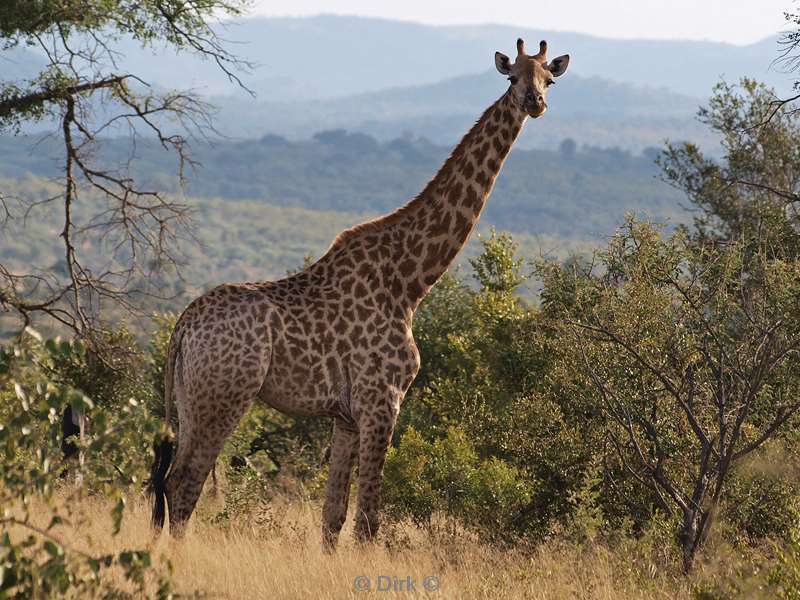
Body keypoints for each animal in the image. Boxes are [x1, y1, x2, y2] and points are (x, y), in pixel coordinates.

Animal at [148, 37, 568, 548]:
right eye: (512, 77)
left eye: (549, 77)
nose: (536, 102)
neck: (410, 281)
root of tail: (183, 326)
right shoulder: (382, 399)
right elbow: (369, 522)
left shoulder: (345, 416)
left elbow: (332, 517)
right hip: (226, 394)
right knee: (183, 484)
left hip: (190, 398)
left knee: (167, 484)